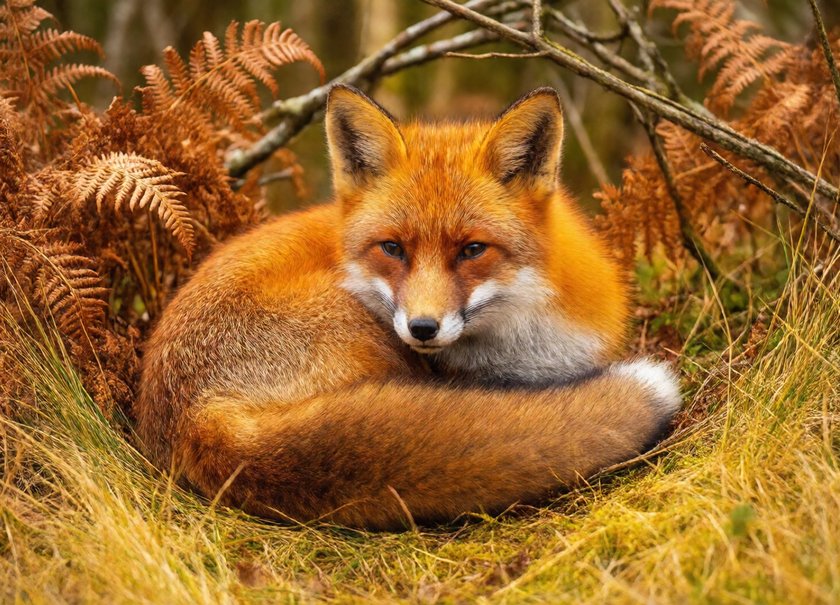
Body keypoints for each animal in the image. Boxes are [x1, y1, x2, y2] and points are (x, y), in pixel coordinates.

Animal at [134, 85, 681, 530]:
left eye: (472, 249)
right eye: (393, 248)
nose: (422, 328)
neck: (529, 343)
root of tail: (192, 417)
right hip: (365, 334)